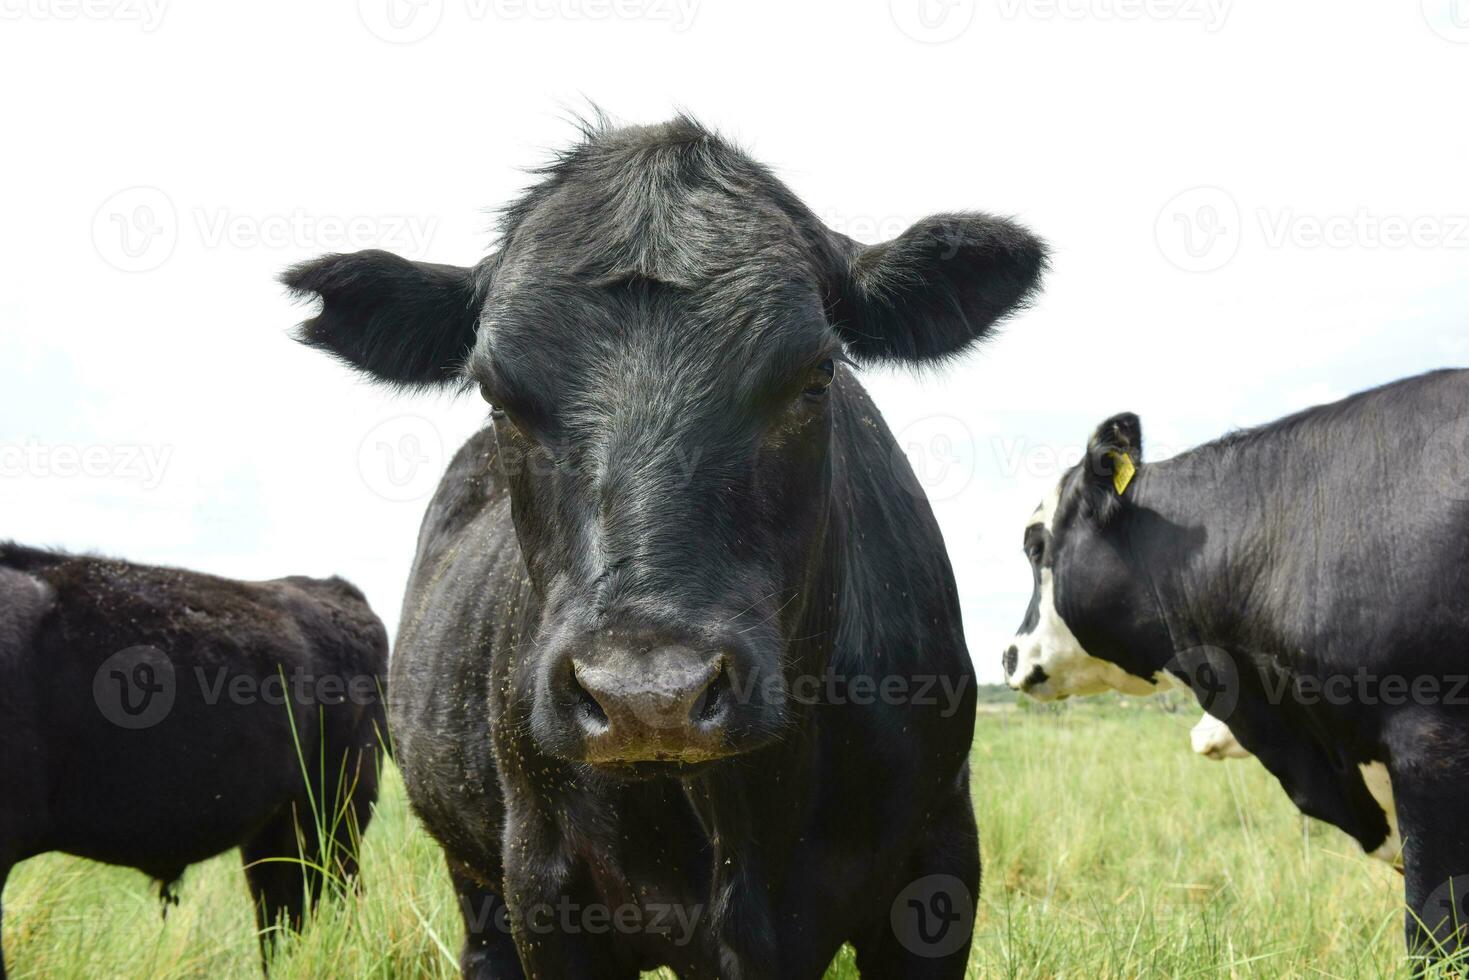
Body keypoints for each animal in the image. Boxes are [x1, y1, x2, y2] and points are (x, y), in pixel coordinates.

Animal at [283, 116, 1045, 980]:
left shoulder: (939, 856)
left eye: (817, 374)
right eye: (495, 397)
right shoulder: (543, 885)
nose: (648, 698)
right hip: (472, 874)